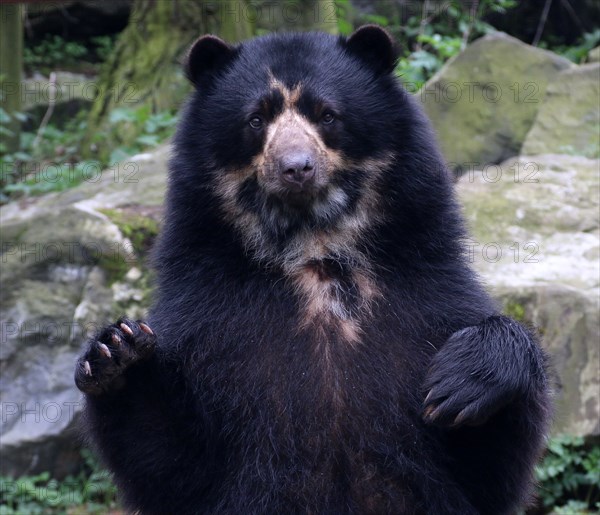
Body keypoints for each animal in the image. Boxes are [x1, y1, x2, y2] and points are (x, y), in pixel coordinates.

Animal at [75, 26, 552, 515]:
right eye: (255, 120)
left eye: (327, 115)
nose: (296, 167)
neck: (316, 253)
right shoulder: (207, 318)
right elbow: (171, 464)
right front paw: (116, 352)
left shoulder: (427, 297)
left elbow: (491, 464)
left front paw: (460, 382)